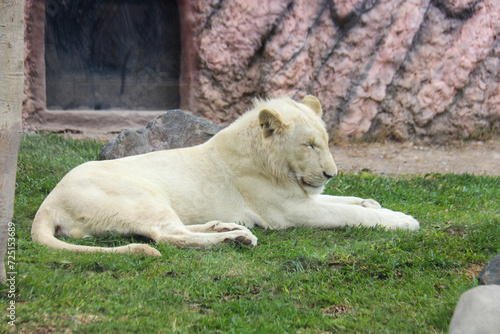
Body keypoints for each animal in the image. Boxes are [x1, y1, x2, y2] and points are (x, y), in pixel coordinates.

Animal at [32, 95, 418, 258]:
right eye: (309, 145)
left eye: (325, 141)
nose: (331, 173)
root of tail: (49, 201)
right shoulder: (290, 212)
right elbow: (346, 212)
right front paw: (403, 220)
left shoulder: (303, 197)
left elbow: (346, 200)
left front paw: (373, 202)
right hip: (143, 196)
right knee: (169, 236)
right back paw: (236, 238)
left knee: (177, 229)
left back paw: (227, 227)